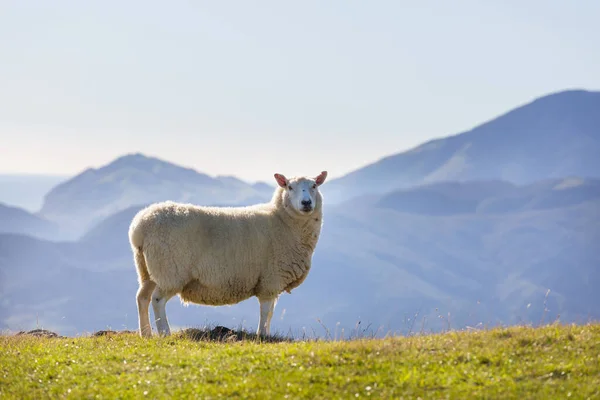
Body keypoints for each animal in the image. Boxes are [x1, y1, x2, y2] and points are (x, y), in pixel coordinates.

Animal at [129, 170, 328, 336]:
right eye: (289, 187)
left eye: (314, 186)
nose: (306, 203)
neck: (281, 220)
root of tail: (140, 227)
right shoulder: (271, 279)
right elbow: (266, 311)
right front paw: (262, 335)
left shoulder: (271, 280)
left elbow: (270, 312)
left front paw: (266, 334)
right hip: (170, 270)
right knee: (157, 299)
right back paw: (164, 333)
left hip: (147, 269)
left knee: (142, 298)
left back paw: (145, 333)